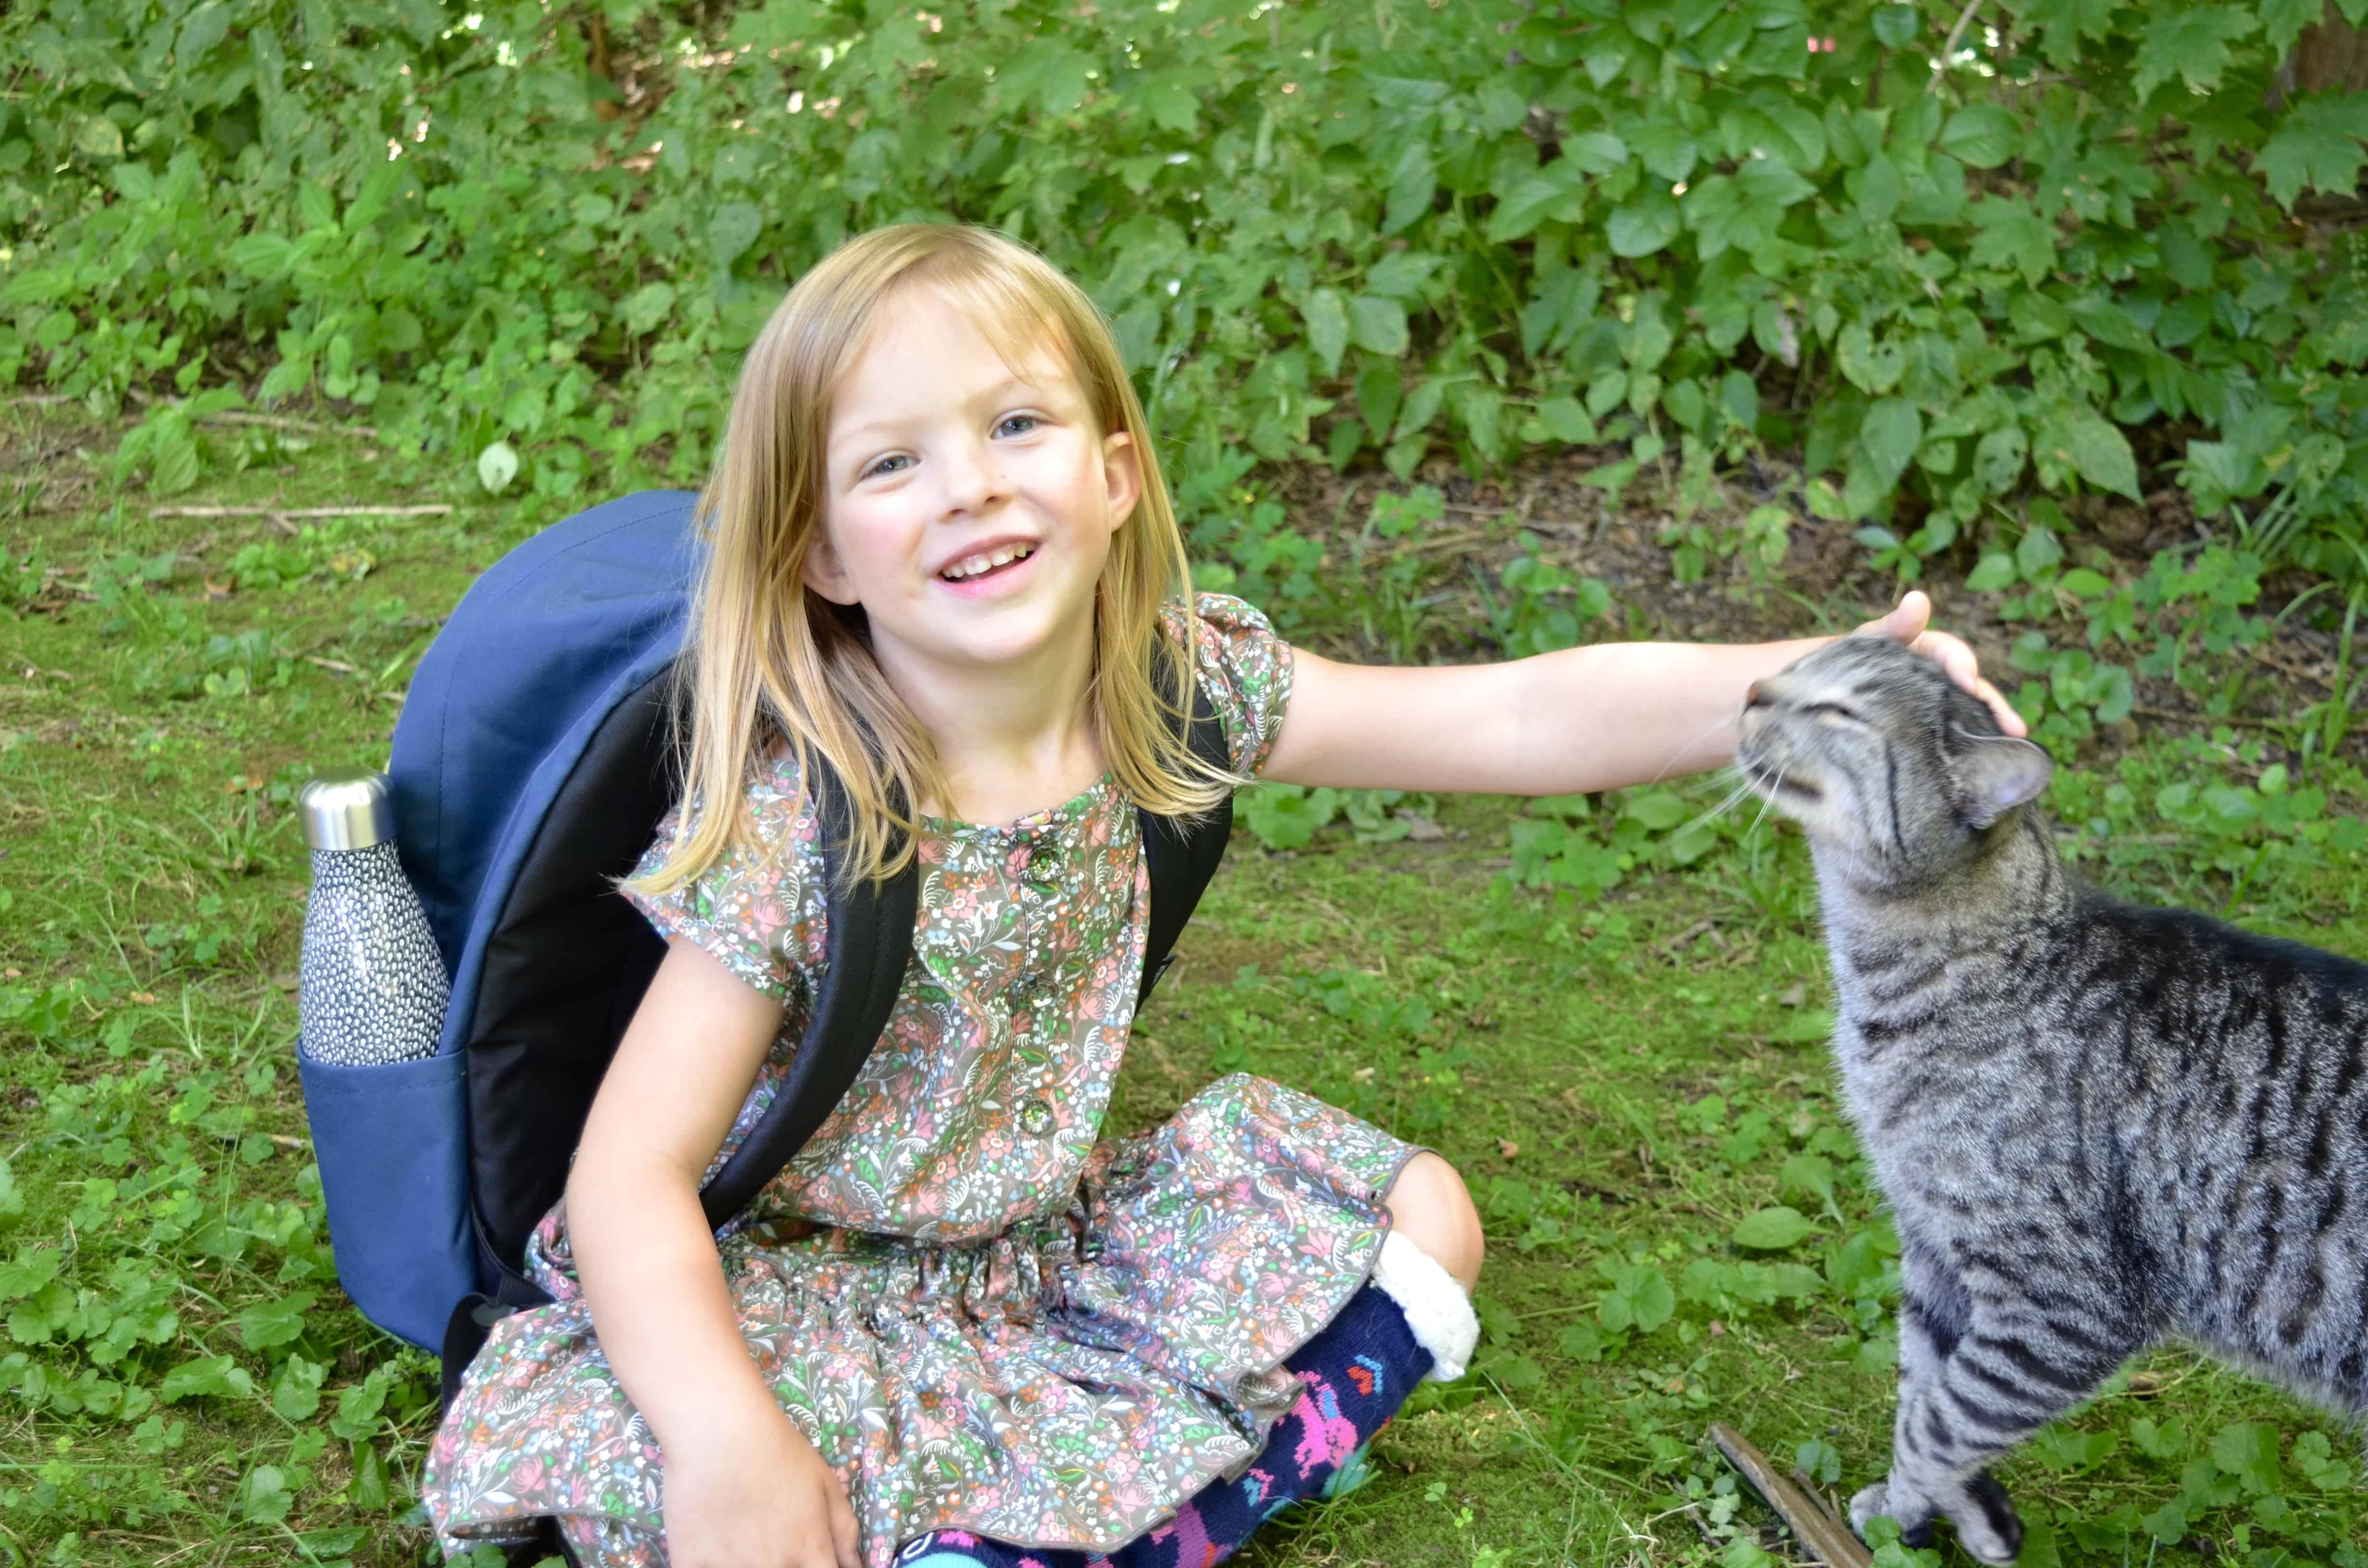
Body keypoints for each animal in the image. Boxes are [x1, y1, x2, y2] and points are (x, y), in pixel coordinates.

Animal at [1733, 635, 2358, 1563]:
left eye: (1837, 709)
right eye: (1797, 662)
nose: (1748, 687)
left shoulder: (2064, 1300)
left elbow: (1945, 1418)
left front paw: (1903, 1509)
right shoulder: (1935, 1251)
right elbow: (1926, 1389)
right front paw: (1950, 1511)